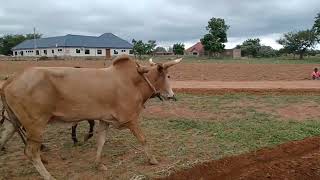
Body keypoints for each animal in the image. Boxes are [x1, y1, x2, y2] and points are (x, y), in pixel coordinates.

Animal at [0, 55, 180, 180]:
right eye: (168, 76)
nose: (172, 95)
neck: (135, 81)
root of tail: (12, 79)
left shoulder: (104, 120)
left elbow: (101, 141)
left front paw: (98, 164)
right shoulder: (131, 119)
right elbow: (143, 139)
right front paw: (153, 160)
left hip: (13, 122)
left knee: (4, 138)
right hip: (35, 124)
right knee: (31, 152)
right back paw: (49, 176)